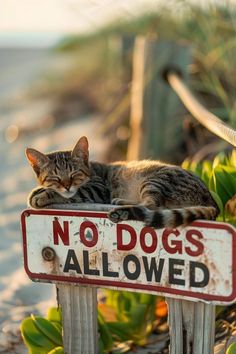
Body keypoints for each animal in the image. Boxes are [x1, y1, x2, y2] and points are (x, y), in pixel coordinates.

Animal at [26, 136, 219, 230]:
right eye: (55, 178)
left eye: (75, 174)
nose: (66, 185)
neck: (92, 169)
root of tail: (211, 200)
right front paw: (39, 190)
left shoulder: (97, 190)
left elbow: (74, 193)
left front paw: (43, 195)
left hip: (155, 180)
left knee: (153, 205)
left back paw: (122, 209)